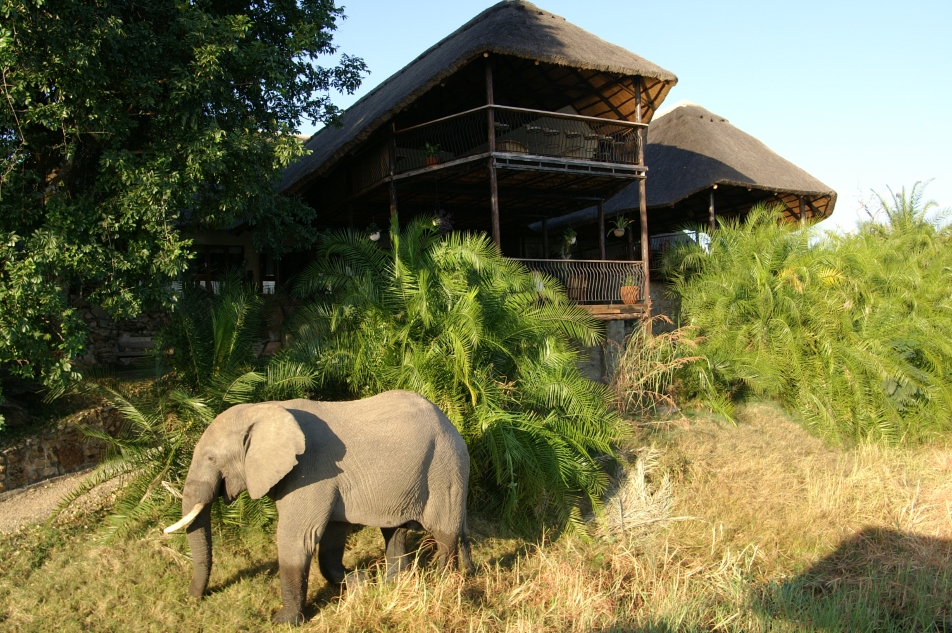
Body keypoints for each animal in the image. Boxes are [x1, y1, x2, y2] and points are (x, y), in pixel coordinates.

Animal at [167, 388, 476, 624]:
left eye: (211, 459)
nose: (193, 598)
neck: (264, 411)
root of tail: (449, 421)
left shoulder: (312, 472)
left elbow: (296, 539)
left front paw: (283, 622)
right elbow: (331, 538)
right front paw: (359, 582)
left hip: (446, 467)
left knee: (445, 534)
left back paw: (442, 585)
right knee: (395, 532)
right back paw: (392, 585)